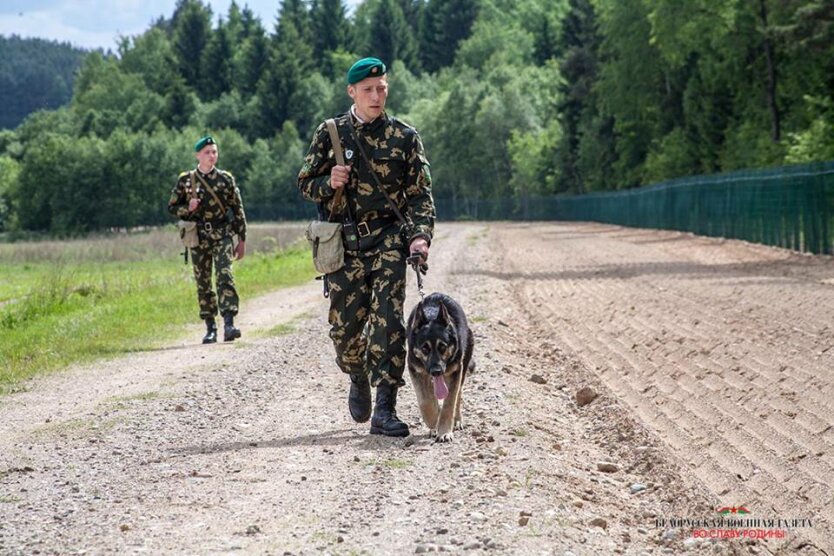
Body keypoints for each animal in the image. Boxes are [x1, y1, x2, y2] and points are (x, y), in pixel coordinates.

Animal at [404, 292, 472, 444]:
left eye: (442, 347)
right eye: (425, 348)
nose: (436, 371)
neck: (431, 315)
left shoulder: (455, 371)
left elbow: (449, 403)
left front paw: (444, 431)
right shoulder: (416, 370)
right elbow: (425, 402)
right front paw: (434, 421)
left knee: (458, 395)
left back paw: (457, 420)